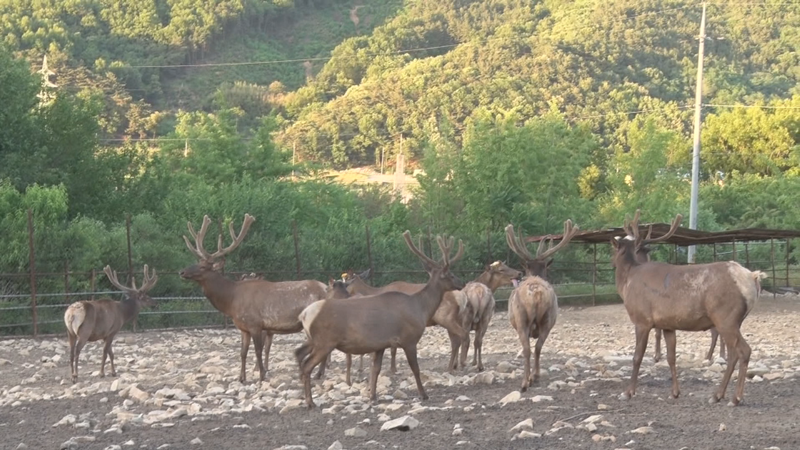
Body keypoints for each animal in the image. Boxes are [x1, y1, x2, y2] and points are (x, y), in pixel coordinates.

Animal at [180, 214, 328, 384]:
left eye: (203, 267)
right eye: (197, 262)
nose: (182, 272)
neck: (231, 301)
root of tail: (328, 289)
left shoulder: (255, 324)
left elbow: (258, 350)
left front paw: (262, 375)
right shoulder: (243, 328)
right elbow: (243, 352)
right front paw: (241, 378)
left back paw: (319, 373)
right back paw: (319, 373)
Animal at [296, 232, 466, 408]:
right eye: (451, 274)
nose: (462, 283)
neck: (420, 308)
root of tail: (305, 314)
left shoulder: (381, 344)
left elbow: (375, 370)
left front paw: (373, 396)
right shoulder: (409, 339)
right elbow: (415, 368)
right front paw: (423, 394)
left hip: (314, 340)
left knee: (299, 354)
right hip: (325, 341)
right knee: (306, 365)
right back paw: (310, 402)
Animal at [504, 219, 580, 390]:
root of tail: (536, 293)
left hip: (521, 318)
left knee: (527, 349)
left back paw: (526, 381)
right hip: (548, 318)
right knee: (538, 347)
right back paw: (534, 377)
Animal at [612, 211, 768, 404]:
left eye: (613, 249)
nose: (611, 263)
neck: (627, 282)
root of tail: (752, 278)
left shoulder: (642, 319)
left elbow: (637, 356)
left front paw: (628, 392)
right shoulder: (667, 325)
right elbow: (671, 357)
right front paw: (675, 392)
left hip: (725, 317)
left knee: (744, 350)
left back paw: (733, 398)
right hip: (734, 320)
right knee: (733, 353)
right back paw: (718, 395)